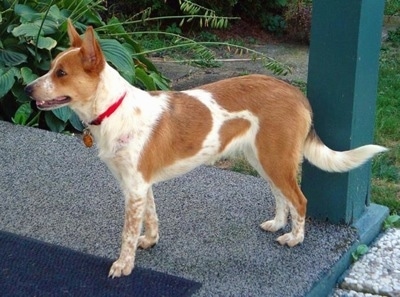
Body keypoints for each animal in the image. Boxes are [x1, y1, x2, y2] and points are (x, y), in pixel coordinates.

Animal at [25, 21, 388, 278]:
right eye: (51, 67)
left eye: (61, 73)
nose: (27, 89)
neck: (114, 109)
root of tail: (295, 92)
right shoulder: (141, 185)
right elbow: (151, 219)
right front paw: (150, 242)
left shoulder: (135, 188)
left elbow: (127, 235)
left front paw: (123, 265)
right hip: (264, 158)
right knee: (281, 197)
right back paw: (277, 224)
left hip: (276, 159)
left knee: (299, 200)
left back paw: (294, 238)